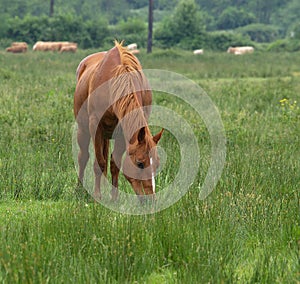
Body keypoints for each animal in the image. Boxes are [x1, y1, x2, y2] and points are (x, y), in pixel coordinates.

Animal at [74, 41, 164, 202]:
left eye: (157, 164)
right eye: (140, 164)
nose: (151, 200)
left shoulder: (123, 133)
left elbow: (114, 164)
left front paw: (114, 198)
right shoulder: (95, 127)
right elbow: (99, 163)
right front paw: (97, 195)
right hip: (83, 130)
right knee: (83, 157)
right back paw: (79, 190)